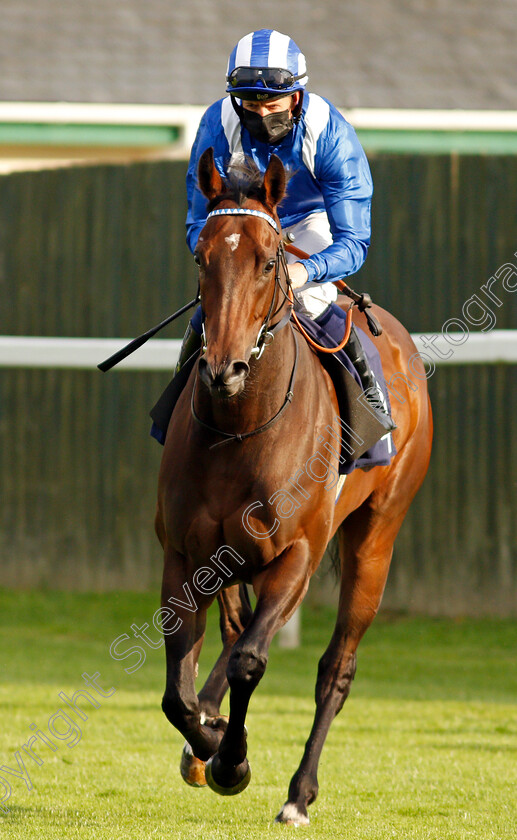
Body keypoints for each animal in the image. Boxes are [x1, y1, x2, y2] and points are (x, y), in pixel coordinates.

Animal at [154, 146, 432, 828]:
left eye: (269, 259)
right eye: (201, 256)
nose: (223, 369)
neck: (239, 427)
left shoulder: (297, 554)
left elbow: (254, 660)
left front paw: (232, 763)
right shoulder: (184, 556)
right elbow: (178, 690)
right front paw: (207, 739)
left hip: (376, 536)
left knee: (336, 667)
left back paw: (298, 793)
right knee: (232, 631)